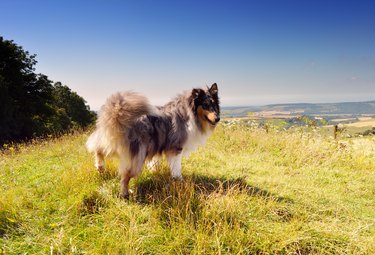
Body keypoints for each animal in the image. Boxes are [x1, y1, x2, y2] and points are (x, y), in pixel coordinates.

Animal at [86, 83, 220, 197]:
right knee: (125, 176)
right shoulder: (176, 147)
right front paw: (179, 181)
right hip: (137, 157)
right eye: (205, 105)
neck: (189, 113)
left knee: (98, 147)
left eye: (214, 104)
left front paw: (154, 171)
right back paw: (125, 193)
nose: (218, 118)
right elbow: (177, 167)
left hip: (114, 142)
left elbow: (155, 162)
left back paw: (100, 167)